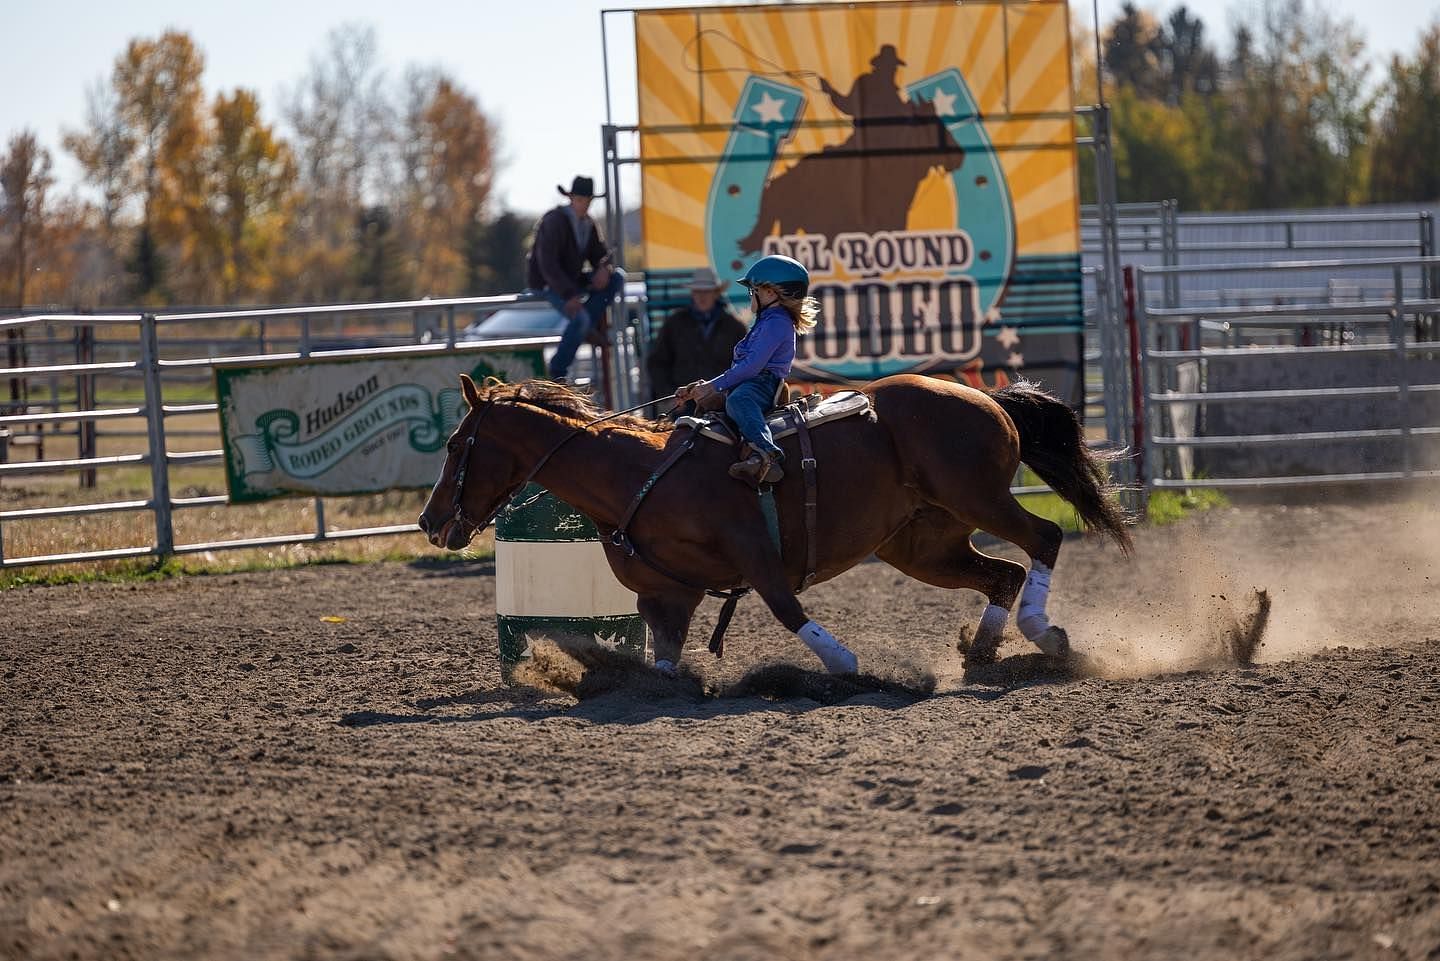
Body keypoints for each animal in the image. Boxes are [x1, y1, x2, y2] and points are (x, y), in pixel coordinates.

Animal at [420, 374, 1134, 677]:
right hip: (921, 543)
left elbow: (789, 609)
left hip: (978, 498)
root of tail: (986, 396)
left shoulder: (755, 553)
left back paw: (1040, 632)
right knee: (1003, 573)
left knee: (1043, 540)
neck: (637, 473)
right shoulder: (666, 595)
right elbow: (664, 661)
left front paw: (846, 664)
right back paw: (985, 648)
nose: (429, 522)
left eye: (457, 443)